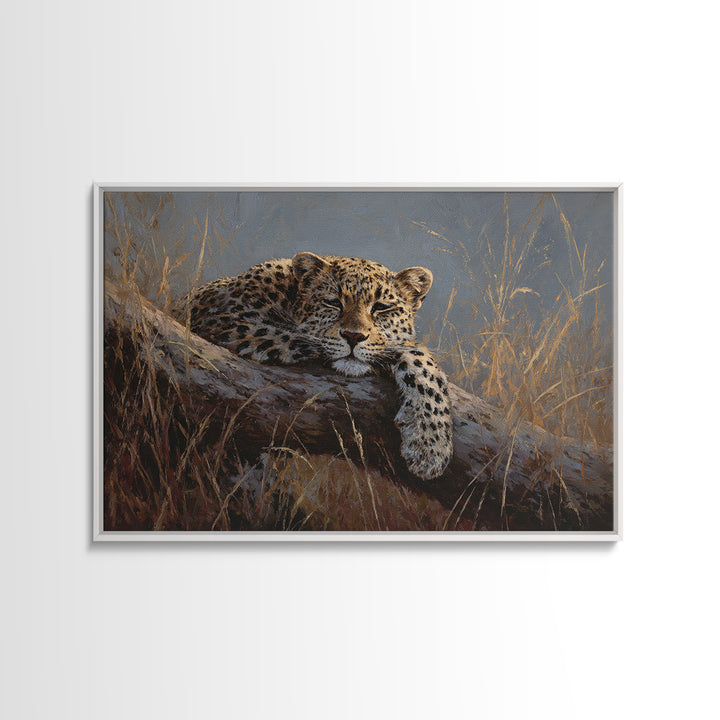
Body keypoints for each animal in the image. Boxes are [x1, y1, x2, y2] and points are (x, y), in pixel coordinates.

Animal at [178, 252, 453, 480]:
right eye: (333, 302)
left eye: (381, 307)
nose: (354, 336)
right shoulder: (223, 320)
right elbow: (305, 340)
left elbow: (421, 363)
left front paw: (431, 445)